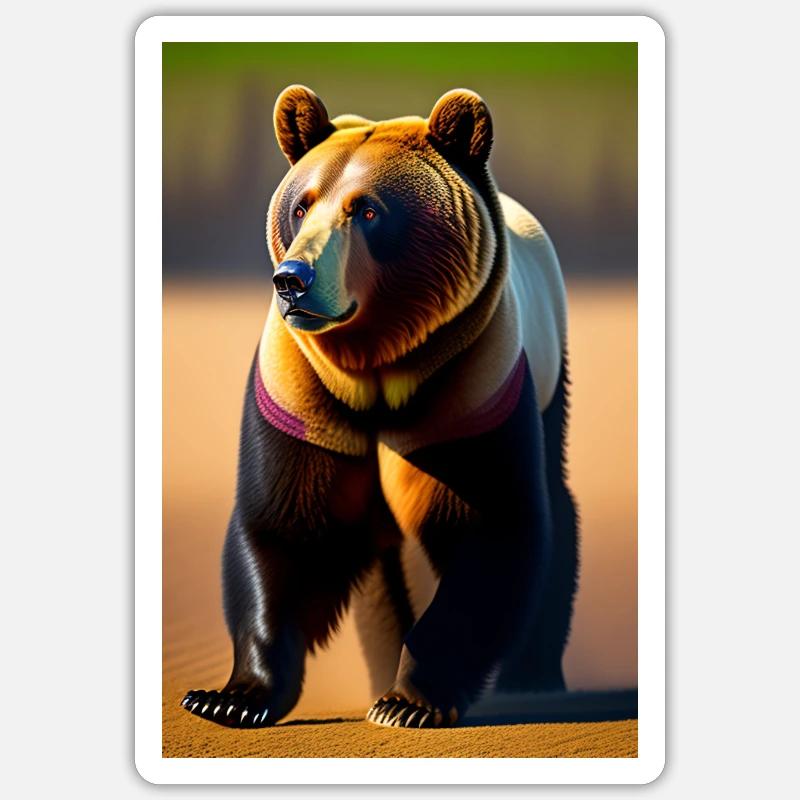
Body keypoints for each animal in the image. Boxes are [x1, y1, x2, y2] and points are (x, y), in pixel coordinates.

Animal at [180, 85, 579, 729]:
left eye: (367, 211)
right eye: (301, 206)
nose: (292, 279)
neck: (374, 367)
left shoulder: (470, 388)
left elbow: (491, 526)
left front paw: (409, 702)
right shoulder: (301, 394)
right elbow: (284, 526)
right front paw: (229, 697)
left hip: (545, 372)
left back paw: (534, 679)